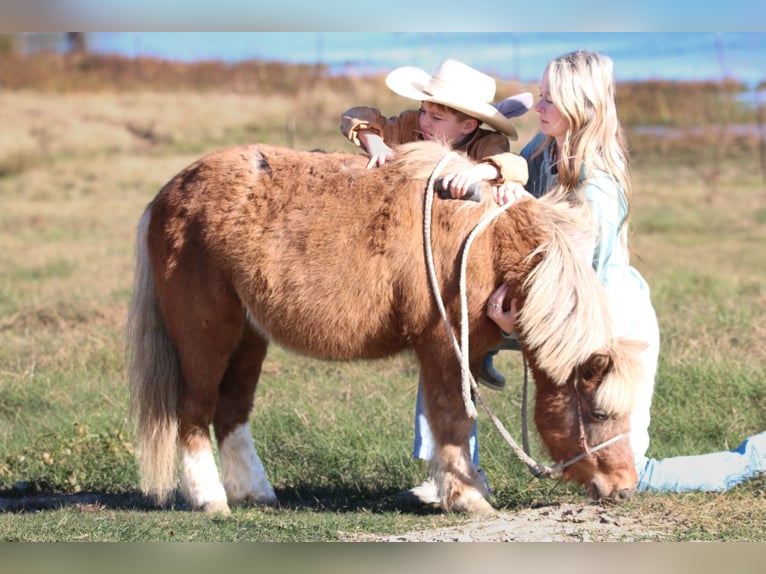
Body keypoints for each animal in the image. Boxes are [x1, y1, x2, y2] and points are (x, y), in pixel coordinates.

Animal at [130, 141, 648, 516]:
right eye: (598, 412)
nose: (624, 487)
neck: (486, 246)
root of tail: (168, 194)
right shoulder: (443, 346)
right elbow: (453, 419)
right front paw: (467, 497)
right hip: (206, 334)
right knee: (194, 412)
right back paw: (210, 499)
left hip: (248, 336)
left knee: (232, 411)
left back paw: (254, 491)